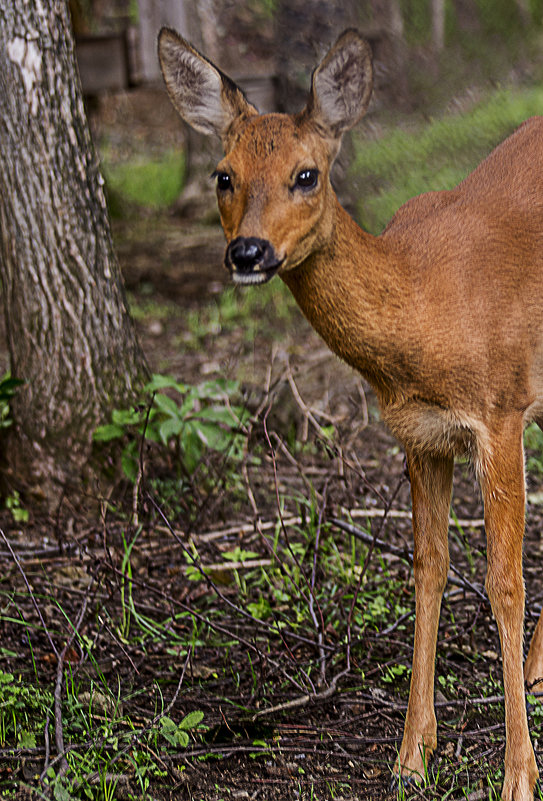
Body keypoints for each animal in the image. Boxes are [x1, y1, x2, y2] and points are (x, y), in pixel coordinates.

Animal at [158, 28, 543, 796]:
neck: (422, 303)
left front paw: (519, 774)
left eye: (307, 174)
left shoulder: (501, 410)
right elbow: (428, 568)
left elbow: (501, 582)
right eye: (223, 175)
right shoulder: (419, 435)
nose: (248, 251)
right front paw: (411, 756)